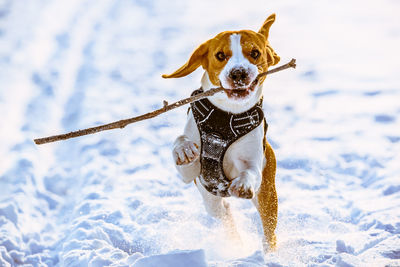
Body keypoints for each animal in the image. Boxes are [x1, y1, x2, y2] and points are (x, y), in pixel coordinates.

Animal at [164, 14, 280, 253]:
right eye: (220, 55)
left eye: (255, 53)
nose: (238, 73)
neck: (225, 118)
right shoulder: (190, 176)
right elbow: (180, 142)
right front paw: (184, 150)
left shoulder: (254, 165)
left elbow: (249, 172)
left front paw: (243, 183)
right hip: (212, 203)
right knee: (225, 215)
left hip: (268, 195)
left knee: (268, 231)